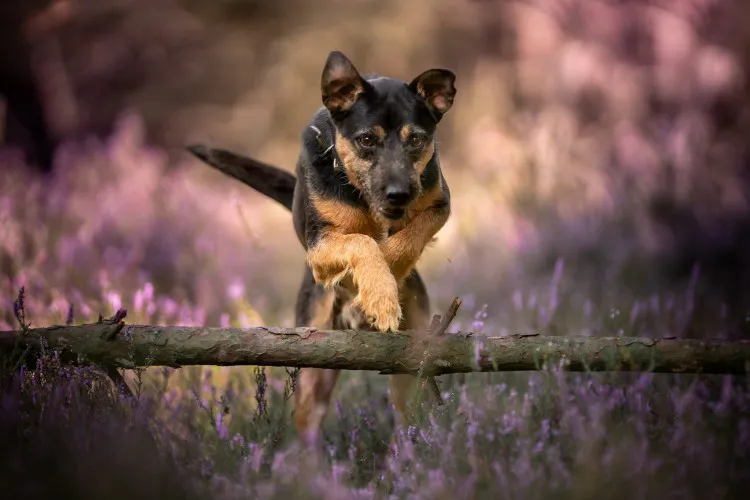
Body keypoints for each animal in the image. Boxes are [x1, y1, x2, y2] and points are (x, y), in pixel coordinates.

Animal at [188, 48, 458, 444]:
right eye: (366, 140)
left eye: (417, 140)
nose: (399, 194)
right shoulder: (320, 247)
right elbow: (362, 241)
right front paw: (378, 294)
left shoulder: (439, 204)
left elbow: (405, 240)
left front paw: (380, 290)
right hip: (312, 363)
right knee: (308, 427)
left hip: (412, 367)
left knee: (409, 414)